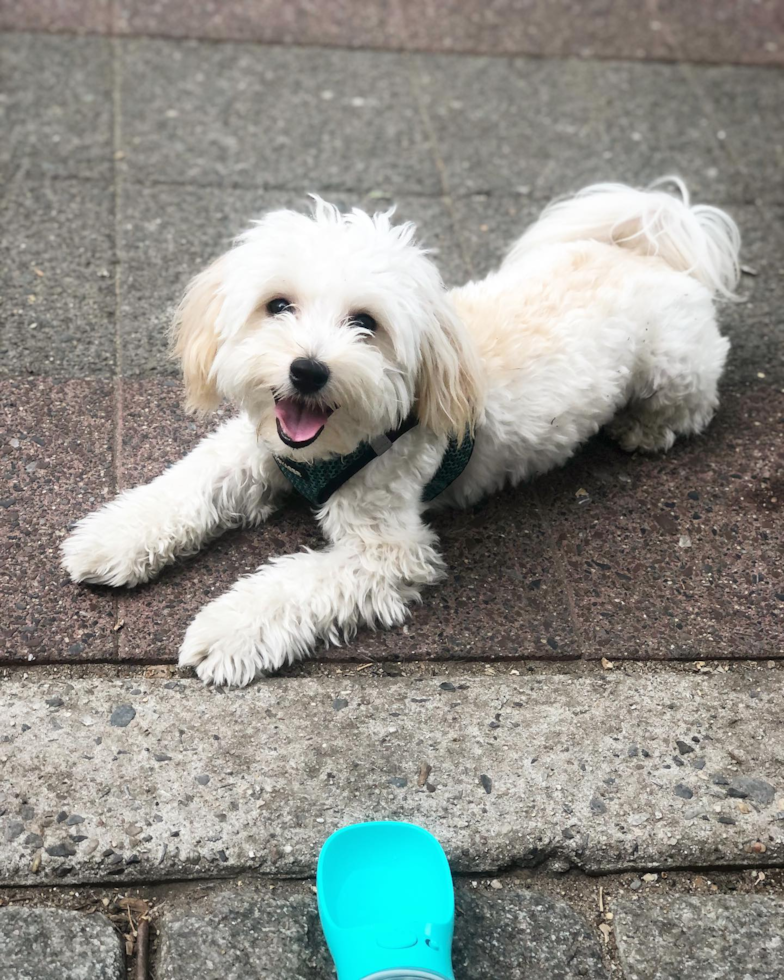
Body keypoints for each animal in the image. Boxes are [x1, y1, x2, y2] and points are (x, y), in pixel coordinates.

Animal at [62, 180, 740, 684]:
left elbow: (293, 585)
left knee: (693, 403)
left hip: (672, 367)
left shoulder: (387, 548)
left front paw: (228, 631)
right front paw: (112, 539)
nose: (307, 369)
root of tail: (650, 251)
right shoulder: (258, 450)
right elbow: (187, 485)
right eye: (277, 305)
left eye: (366, 323)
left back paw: (643, 429)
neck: (329, 450)